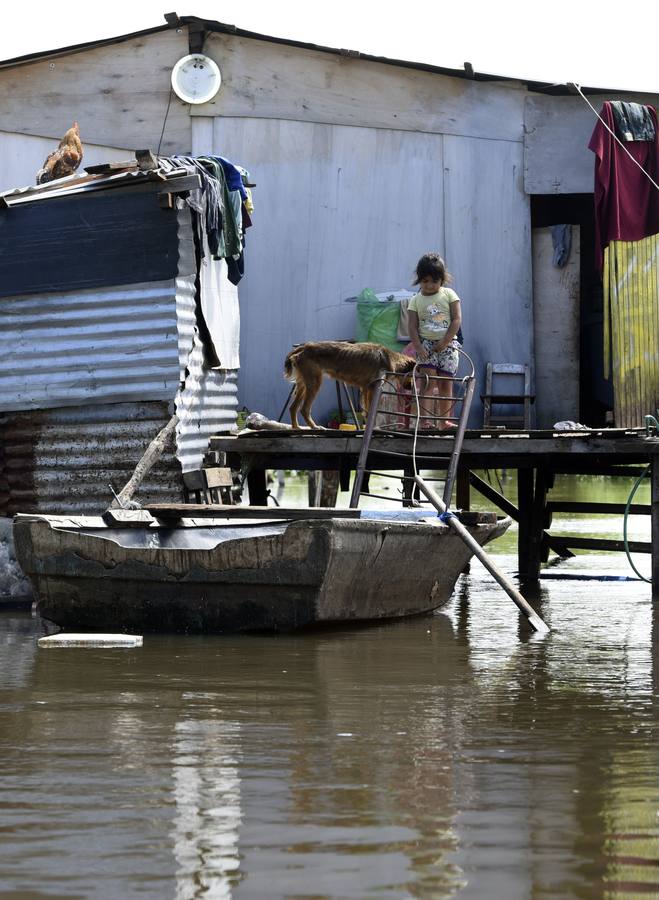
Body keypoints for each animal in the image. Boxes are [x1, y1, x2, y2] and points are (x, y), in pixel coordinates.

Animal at [284, 342, 418, 430]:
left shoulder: (366, 388)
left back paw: (296, 428)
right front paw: (373, 428)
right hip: (314, 383)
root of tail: (305, 347)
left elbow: (367, 411)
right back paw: (314, 427)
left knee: (293, 407)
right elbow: (370, 411)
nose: (412, 387)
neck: (391, 359)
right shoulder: (373, 389)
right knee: (304, 409)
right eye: (413, 376)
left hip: (303, 384)